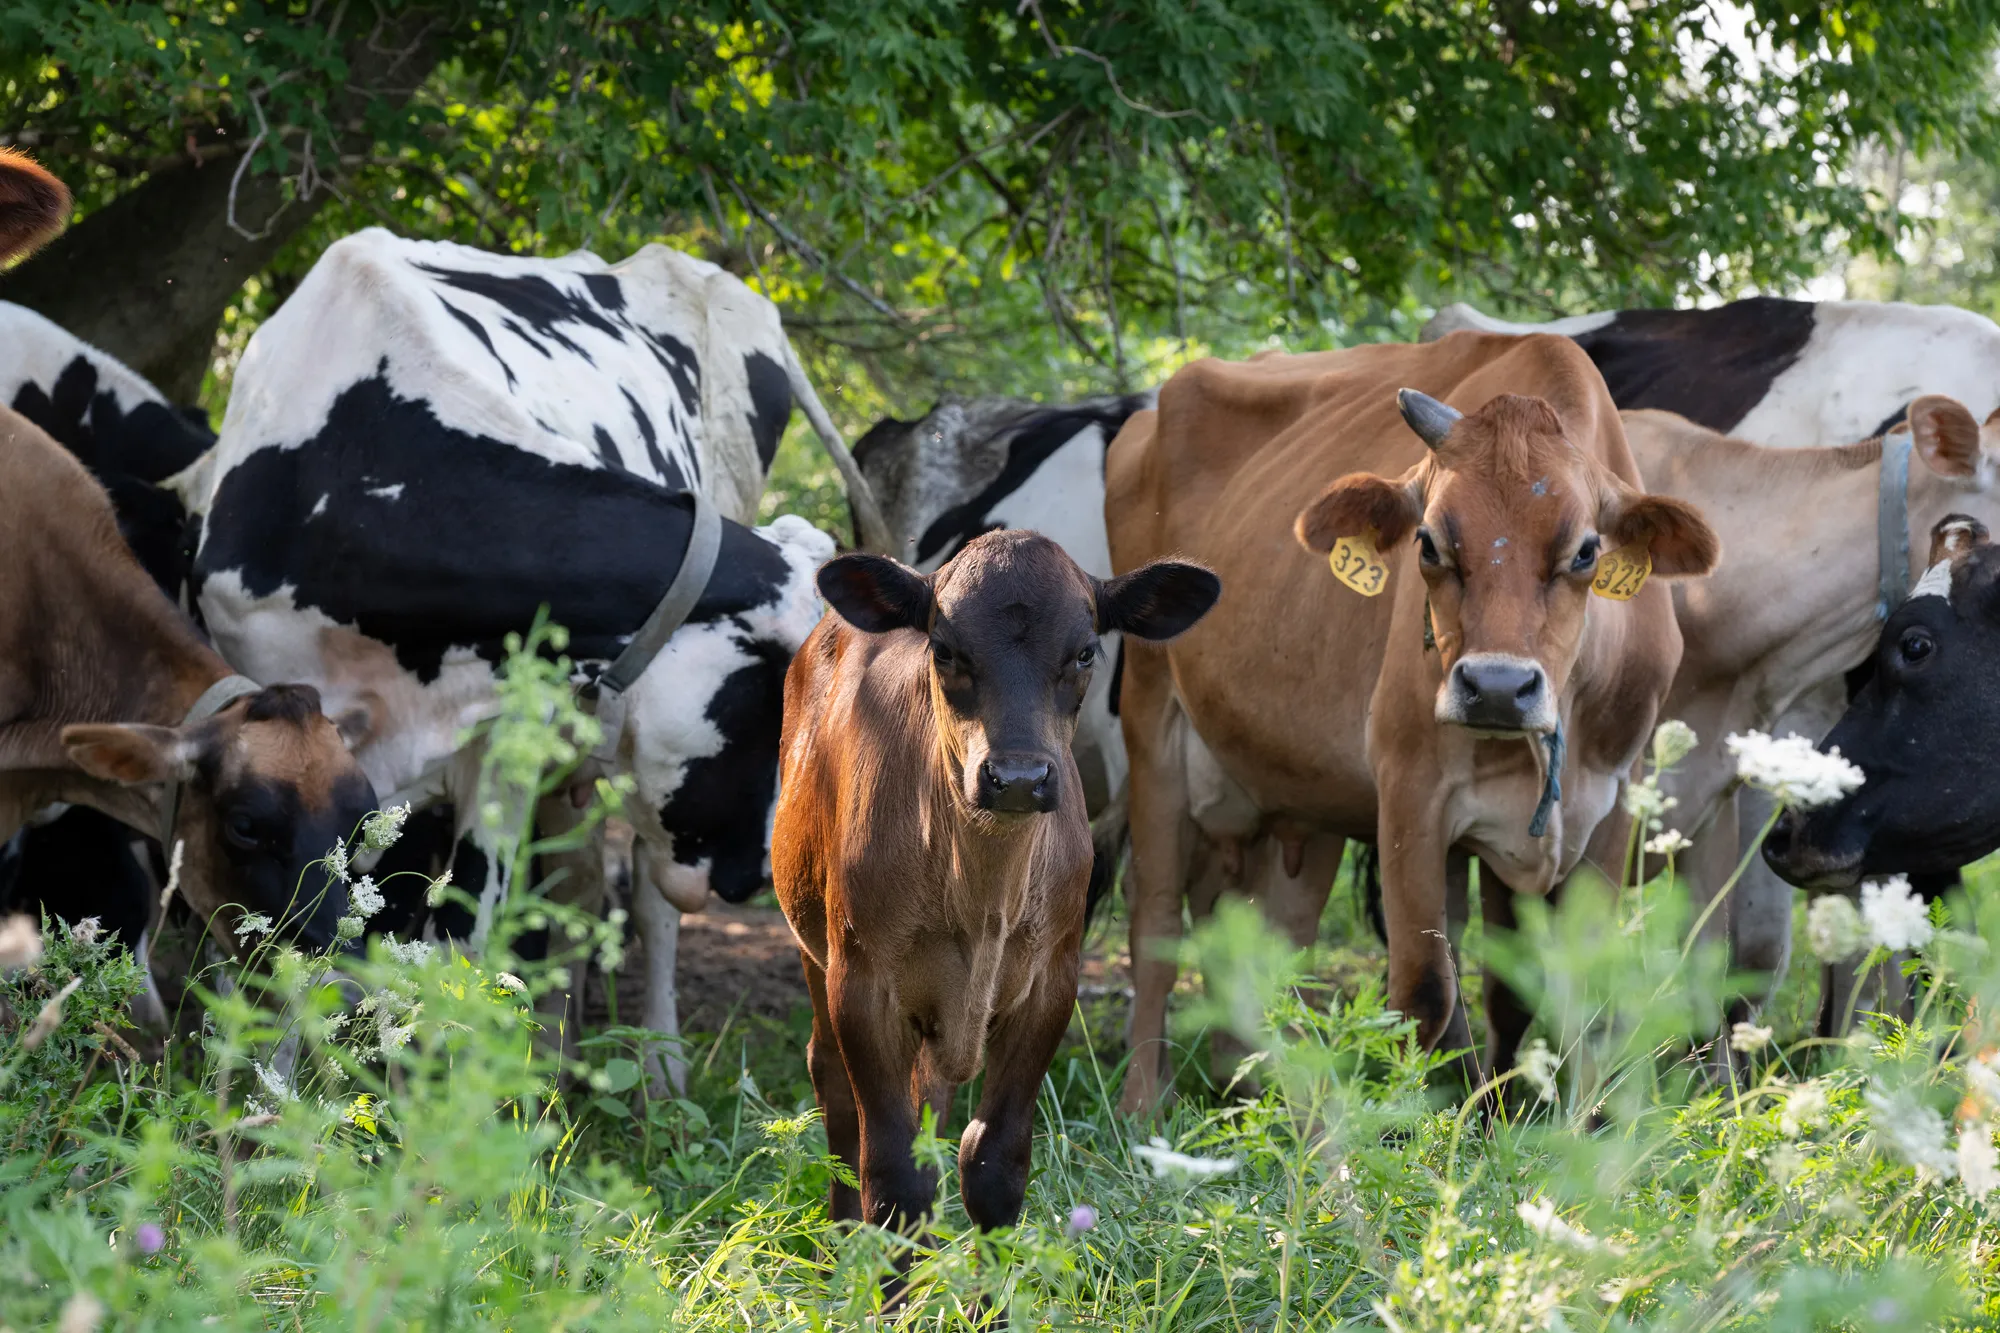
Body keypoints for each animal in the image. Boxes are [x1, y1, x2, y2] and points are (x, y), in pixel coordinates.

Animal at [178, 229, 853, 1091]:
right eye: (780, 699)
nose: (763, 875)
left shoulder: (503, 736)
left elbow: (461, 936)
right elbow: (285, 931)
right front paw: (263, 1095)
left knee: (642, 899)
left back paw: (657, 1069)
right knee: (583, 885)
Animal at [772, 529, 1217, 1243]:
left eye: (1085, 651)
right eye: (945, 648)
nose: (1017, 777)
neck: (982, 898)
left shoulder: (1051, 984)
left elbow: (992, 1163)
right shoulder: (863, 982)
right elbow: (892, 1174)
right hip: (816, 950)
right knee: (833, 1084)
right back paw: (840, 1241)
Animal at [1106, 333, 1719, 1112]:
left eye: (1586, 550)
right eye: (1428, 543)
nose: (1497, 687)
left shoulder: (1611, 803)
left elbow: (1571, 990)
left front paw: (1565, 1124)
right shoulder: (1409, 793)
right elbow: (1425, 992)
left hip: (1291, 796)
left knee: (1268, 932)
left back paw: (1263, 1088)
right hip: (1151, 720)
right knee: (1154, 921)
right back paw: (1143, 1102)